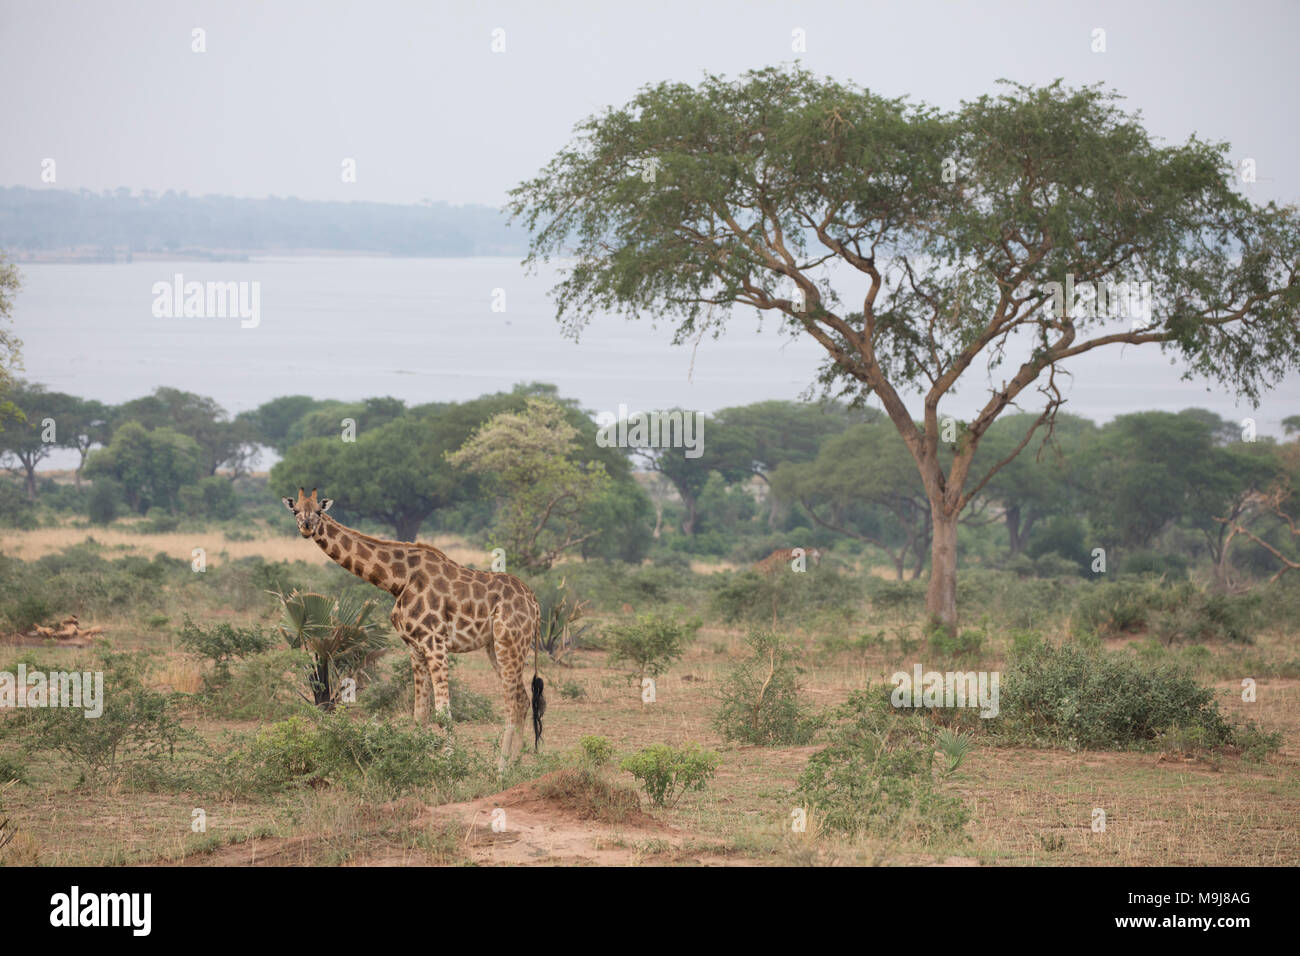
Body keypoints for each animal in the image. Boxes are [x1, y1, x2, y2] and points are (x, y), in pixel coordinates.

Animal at [282, 489, 546, 775]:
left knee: (512, 702)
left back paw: (502, 769)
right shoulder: (415, 647)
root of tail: (534, 603)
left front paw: (449, 765)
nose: (307, 527)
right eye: (295, 510)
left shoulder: (435, 643)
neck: (397, 580)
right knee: (522, 699)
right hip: (495, 647)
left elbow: (443, 714)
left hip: (510, 641)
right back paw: (516, 764)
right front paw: (417, 762)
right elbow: (420, 715)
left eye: (319, 511)